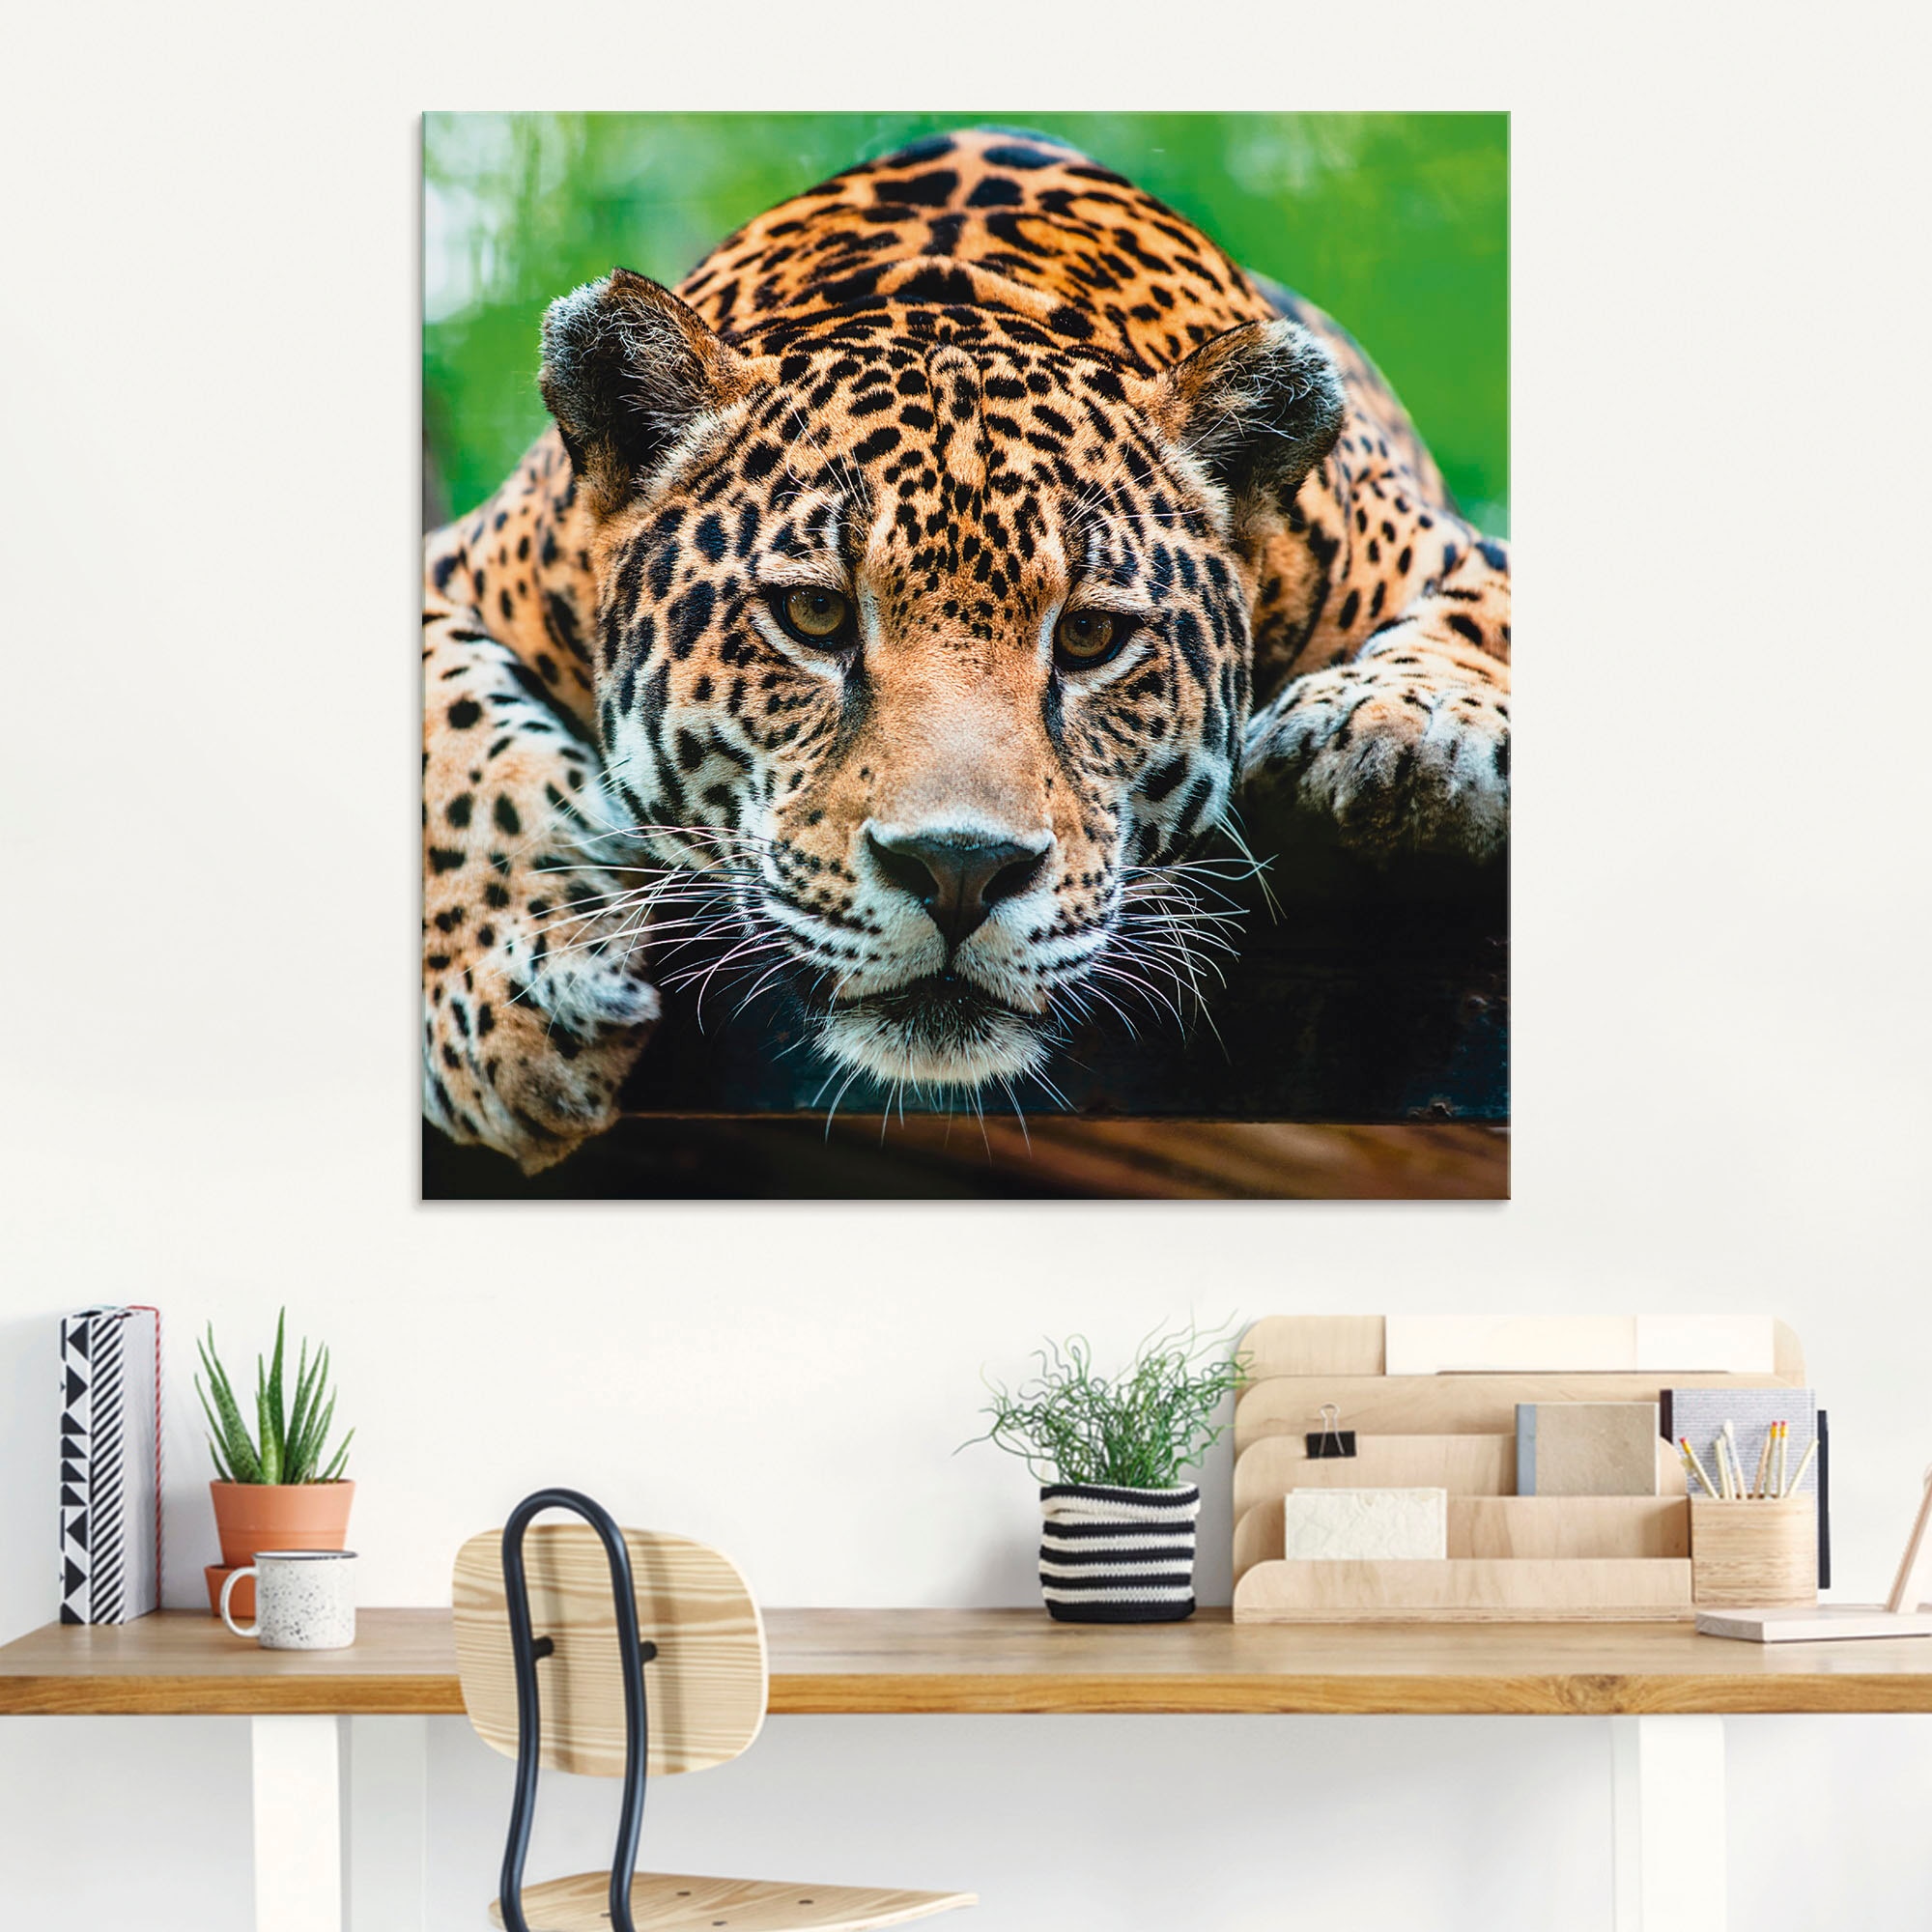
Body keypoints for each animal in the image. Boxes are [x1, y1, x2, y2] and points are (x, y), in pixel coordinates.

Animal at [422, 128, 1510, 1172]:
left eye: (1089, 635)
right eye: (813, 616)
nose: (957, 871)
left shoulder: (1453, 551)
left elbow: (1475, 624)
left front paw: (1394, 728)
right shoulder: (453, 570)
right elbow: (457, 738)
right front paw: (515, 994)